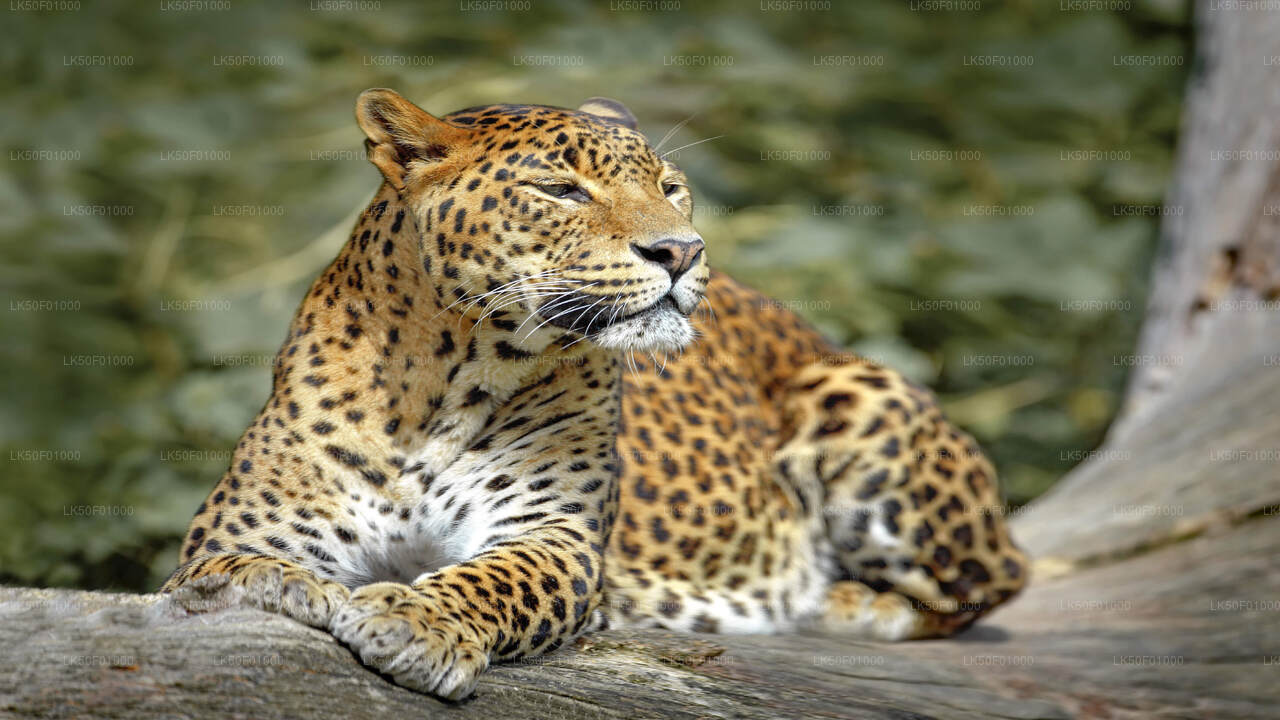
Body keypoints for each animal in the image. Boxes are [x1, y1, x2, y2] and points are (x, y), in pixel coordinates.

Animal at [163, 88, 1028, 700]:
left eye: (672, 187)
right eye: (561, 190)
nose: (683, 250)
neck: (449, 379)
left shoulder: (555, 534)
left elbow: (492, 579)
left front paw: (414, 620)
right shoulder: (245, 524)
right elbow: (227, 566)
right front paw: (269, 584)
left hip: (856, 394)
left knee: (996, 579)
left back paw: (850, 602)